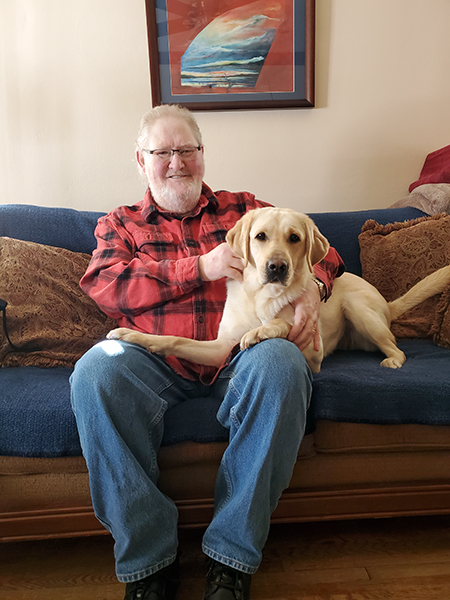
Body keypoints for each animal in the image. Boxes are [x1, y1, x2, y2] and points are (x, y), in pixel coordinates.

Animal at [107, 209, 450, 372]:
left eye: (294, 238)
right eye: (260, 236)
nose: (277, 267)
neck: (260, 297)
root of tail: (385, 303)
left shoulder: (314, 354)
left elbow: (282, 323)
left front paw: (262, 330)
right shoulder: (219, 348)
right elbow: (174, 340)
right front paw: (133, 337)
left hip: (358, 309)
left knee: (397, 348)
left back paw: (392, 360)